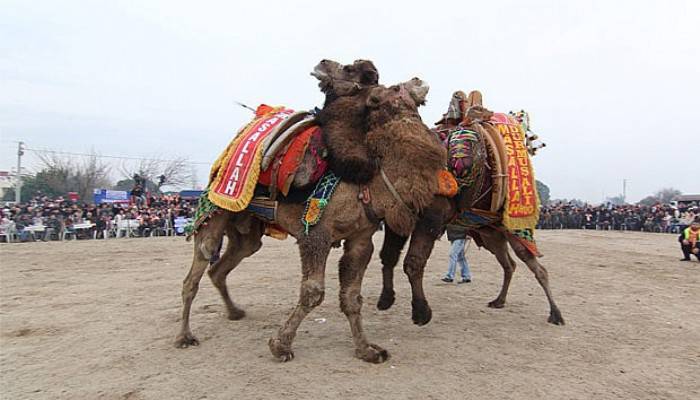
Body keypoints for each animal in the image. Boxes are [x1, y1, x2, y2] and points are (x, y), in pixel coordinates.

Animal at [176, 61, 448, 362]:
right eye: (396, 88)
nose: (419, 80)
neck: (370, 183)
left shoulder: (360, 239)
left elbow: (352, 297)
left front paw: (367, 350)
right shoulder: (316, 234)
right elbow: (313, 292)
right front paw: (280, 345)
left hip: (247, 229)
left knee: (222, 267)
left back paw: (234, 312)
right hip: (218, 207)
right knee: (195, 272)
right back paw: (185, 336)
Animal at [374, 92, 568, 326]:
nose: (539, 141)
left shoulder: (431, 218)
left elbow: (413, 262)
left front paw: (421, 312)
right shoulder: (397, 217)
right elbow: (388, 256)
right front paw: (385, 300)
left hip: (512, 228)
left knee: (537, 267)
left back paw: (556, 314)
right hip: (491, 232)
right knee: (509, 264)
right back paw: (499, 300)